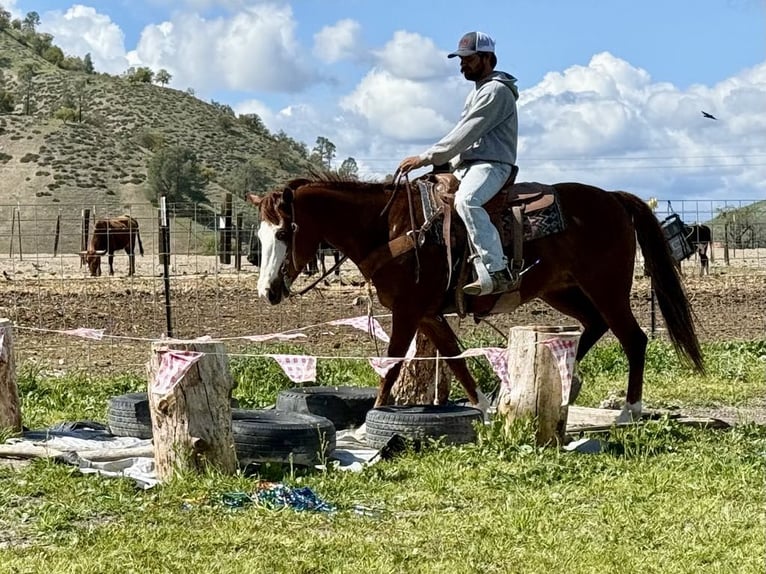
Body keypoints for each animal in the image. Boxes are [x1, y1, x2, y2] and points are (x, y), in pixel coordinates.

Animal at [247, 174, 703, 421]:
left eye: (284, 232)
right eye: (259, 236)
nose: (268, 291)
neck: (389, 227)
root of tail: (614, 198)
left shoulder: (408, 312)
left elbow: (392, 366)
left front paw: (367, 423)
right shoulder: (428, 314)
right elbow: (456, 360)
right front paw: (485, 408)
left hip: (607, 287)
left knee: (633, 338)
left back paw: (630, 411)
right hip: (562, 290)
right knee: (594, 326)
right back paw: (560, 385)